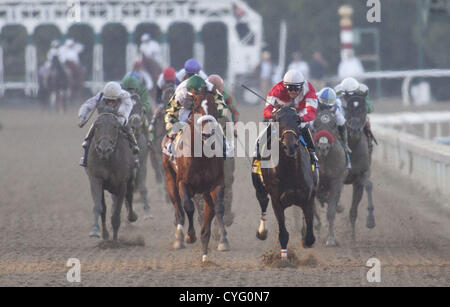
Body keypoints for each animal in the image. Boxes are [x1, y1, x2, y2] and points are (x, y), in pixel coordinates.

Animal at [85, 112, 138, 242]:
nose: (104, 149)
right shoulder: (96, 179)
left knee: (129, 197)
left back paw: (132, 216)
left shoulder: (122, 184)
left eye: (114, 127)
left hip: (130, 181)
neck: (108, 161)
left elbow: (116, 214)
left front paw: (114, 241)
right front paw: (99, 232)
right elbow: (99, 207)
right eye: (97, 126)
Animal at [161, 90, 229, 264]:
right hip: (170, 180)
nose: (207, 133)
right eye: (196, 106)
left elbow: (218, 209)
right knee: (179, 210)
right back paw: (179, 238)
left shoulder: (216, 185)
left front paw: (222, 241)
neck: (201, 156)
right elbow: (188, 206)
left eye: (214, 106)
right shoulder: (183, 183)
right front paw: (190, 236)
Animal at [253, 105, 316, 262]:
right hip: (259, 187)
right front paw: (284, 260)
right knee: (263, 202)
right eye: (277, 120)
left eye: (298, 120)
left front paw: (305, 240)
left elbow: (310, 235)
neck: (290, 173)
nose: (290, 146)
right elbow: (283, 234)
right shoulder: (277, 201)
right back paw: (262, 231)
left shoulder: (308, 198)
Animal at [312, 106, 348, 248]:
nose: (323, 147)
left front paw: (331, 239)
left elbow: (331, 211)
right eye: (316, 124)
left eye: (333, 125)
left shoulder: (337, 179)